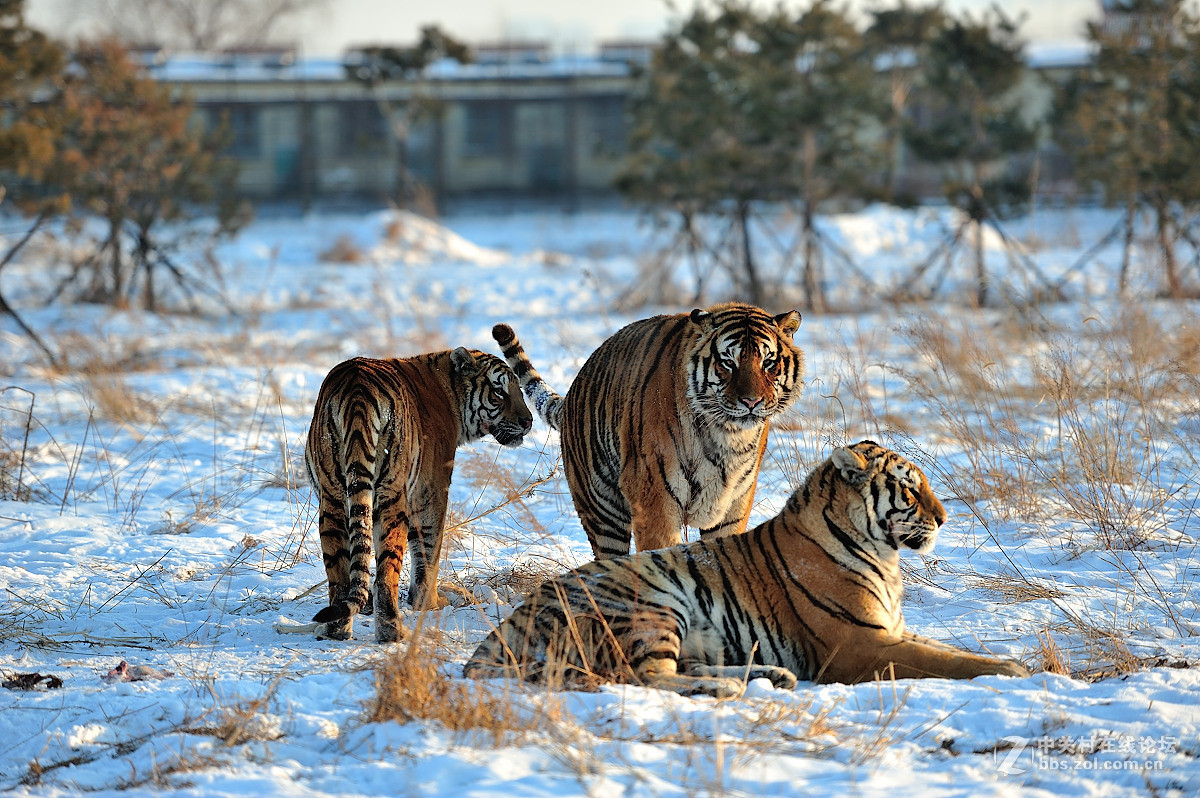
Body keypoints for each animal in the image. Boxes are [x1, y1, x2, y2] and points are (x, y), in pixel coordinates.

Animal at [307, 348, 532, 643]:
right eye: (499, 391)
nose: (528, 421)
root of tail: (357, 390)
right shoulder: (431, 490)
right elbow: (429, 550)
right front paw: (430, 603)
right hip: (391, 497)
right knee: (386, 574)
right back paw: (392, 631)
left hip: (332, 499)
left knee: (341, 575)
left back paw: (337, 630)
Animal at [463, 439, 1027, 696]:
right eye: (910, 490)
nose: (944, 517)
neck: (884, 556)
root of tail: (500, 631)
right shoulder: (859, 644)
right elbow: (942, 662)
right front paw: (1012, 670)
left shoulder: (889, 631)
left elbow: (948, 651)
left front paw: (1009, 663)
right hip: (650, 603)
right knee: (645, 677)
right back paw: (729, 689)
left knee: (680, 668)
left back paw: (771, 675)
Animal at [492, 302, 811, 556]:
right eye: (727, 362)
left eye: (768, 362)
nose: (751, 401)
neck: (727, 434)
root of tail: (572, 394)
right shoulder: (654, 495)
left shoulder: (734, 504)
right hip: (602, 511)